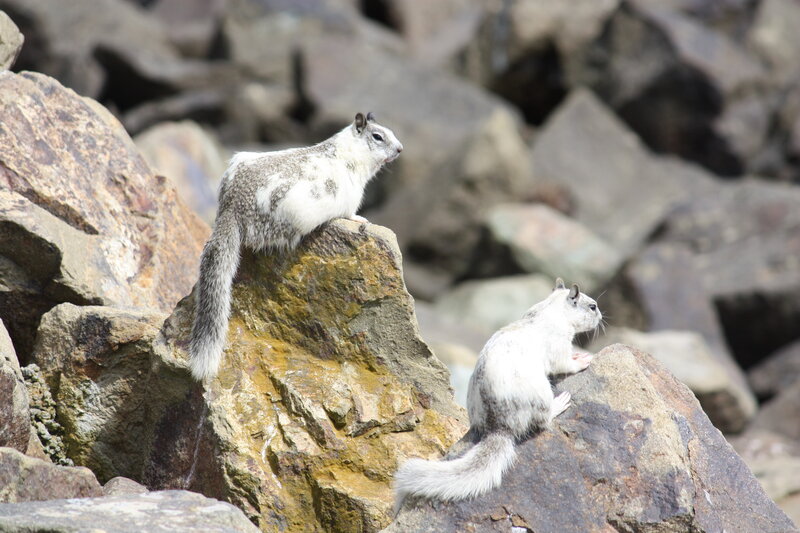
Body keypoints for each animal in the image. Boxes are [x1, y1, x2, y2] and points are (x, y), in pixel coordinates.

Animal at [188, 112, 403, 381]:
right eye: (377, 136)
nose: (400, 149)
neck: (348, 152)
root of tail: (231, 206)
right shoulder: (351, 197)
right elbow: (351, 213)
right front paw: (361, 219)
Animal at [394, 278, 601, 504]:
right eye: (592, 306)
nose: (601, 317)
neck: (553, 308)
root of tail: (498, 426)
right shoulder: (560, 347)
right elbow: (565, 363)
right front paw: (582, 359)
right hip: (542, 395)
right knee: (543, 421)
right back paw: (560, 403)